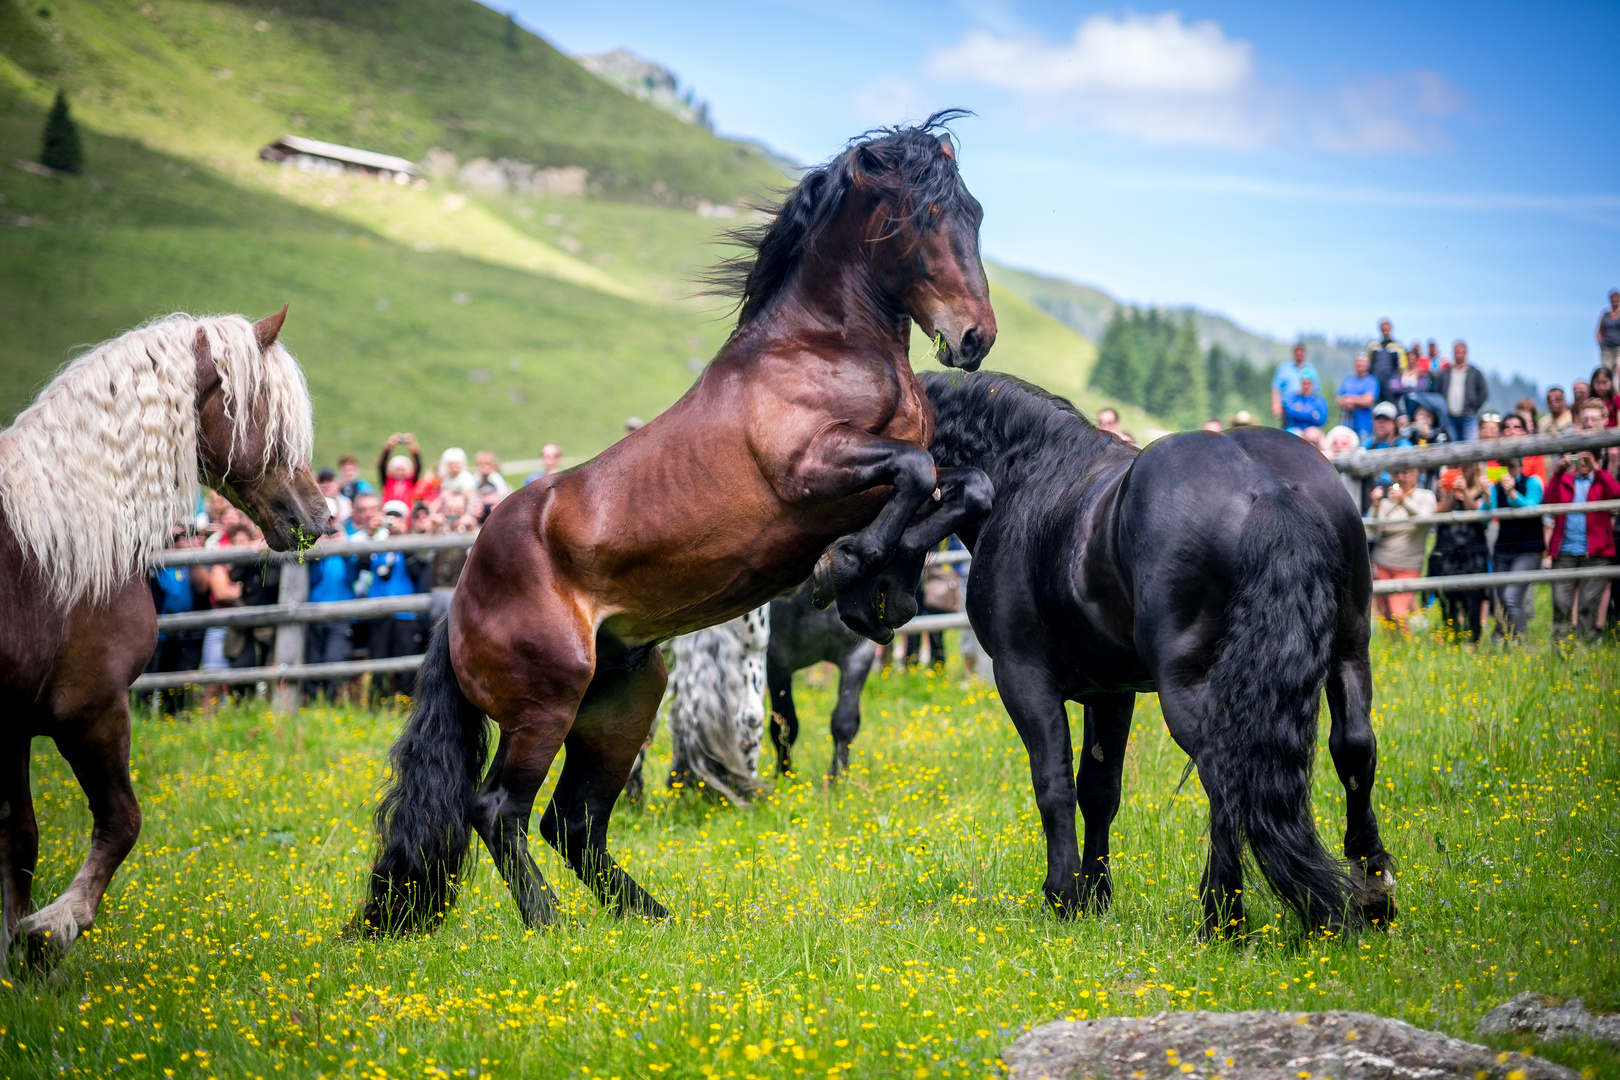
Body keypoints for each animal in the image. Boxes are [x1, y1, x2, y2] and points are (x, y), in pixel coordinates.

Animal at [0, 306, 328, 971]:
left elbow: (21, 840)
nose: (322, 517)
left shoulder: (16, 724)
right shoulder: (91, 708)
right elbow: (121, 822)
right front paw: (54, 927)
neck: (62, 539)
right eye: (274, 416)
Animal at [767, 582, 874, 777]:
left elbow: (845, 721)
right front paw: (784, 774)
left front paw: (836, 778)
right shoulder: (776, 661)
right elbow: (785, 723)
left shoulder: (858, 654)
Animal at [855, 375, 1399, 932]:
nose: (866, 612)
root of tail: (1266, 488)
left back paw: (1221, 915)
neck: (1025, 478)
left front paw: (1063, 895)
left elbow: (1053, 784)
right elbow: (1099, 789)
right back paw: (1371, 892)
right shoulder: (1110, 691)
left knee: (1225, 771)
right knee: (1353, 747)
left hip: (1189, 684)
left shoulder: (1023, 676)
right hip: (1348, 651)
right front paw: (1095, 896)